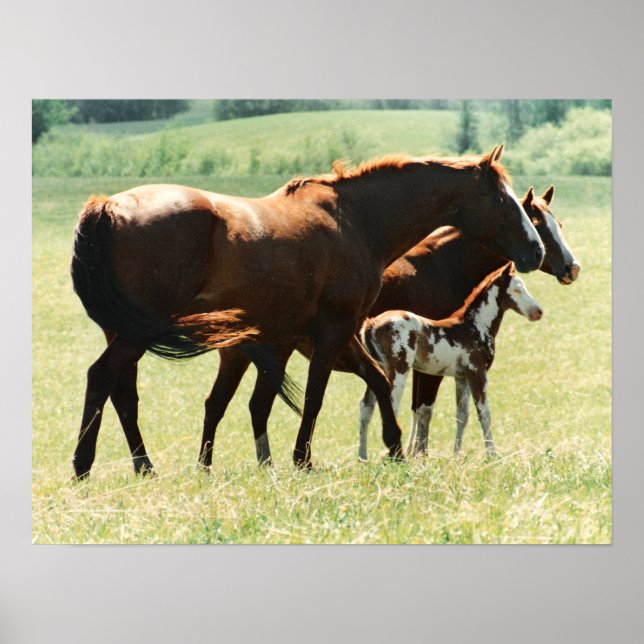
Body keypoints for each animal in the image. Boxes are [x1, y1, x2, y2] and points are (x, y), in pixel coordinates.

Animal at [359, 263, 542, 458]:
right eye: (517, 289)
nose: (538, 312)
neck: (475, 326)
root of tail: (371, 323)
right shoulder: (477, 372)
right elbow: (484, 413)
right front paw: (493, 455)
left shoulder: (461, 377)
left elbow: (462, 416)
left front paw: (456, 455)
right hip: (399, 370)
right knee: (391, 406)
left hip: (378, 369)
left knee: (366, 407)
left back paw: (363, 457)